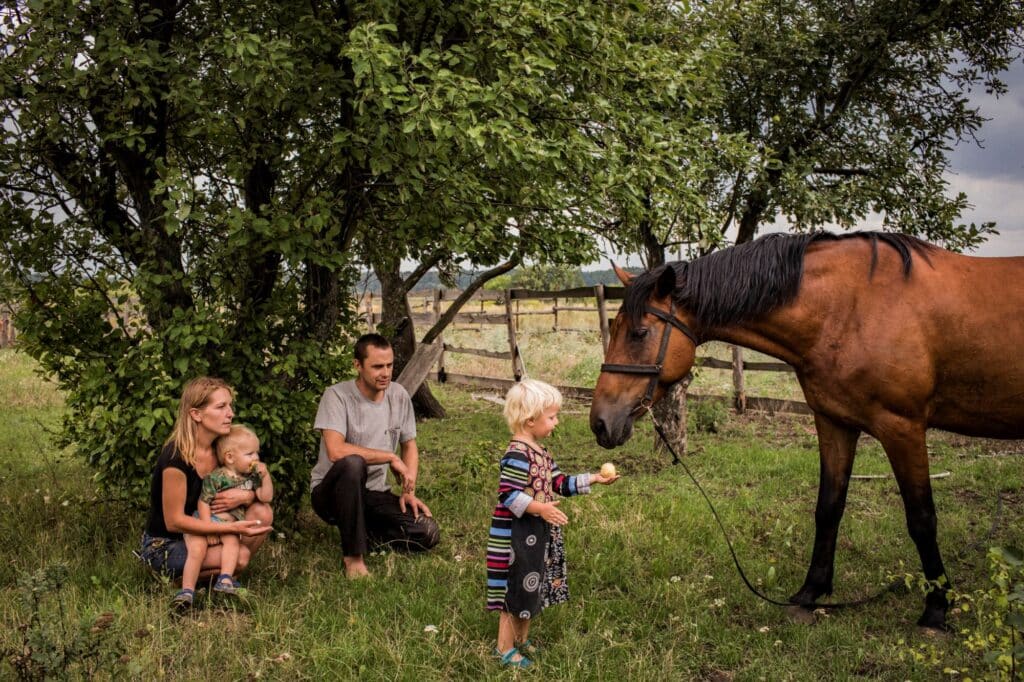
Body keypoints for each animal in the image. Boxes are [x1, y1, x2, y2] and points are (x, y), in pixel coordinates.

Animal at [589, 232, 1024, 626]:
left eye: (639, 333)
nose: (600, 422)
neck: (851, 307)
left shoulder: (904, 428)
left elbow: (922, 518)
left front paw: (936, 608)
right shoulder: (834, 422)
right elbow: (828, 508)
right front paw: (810, 593)